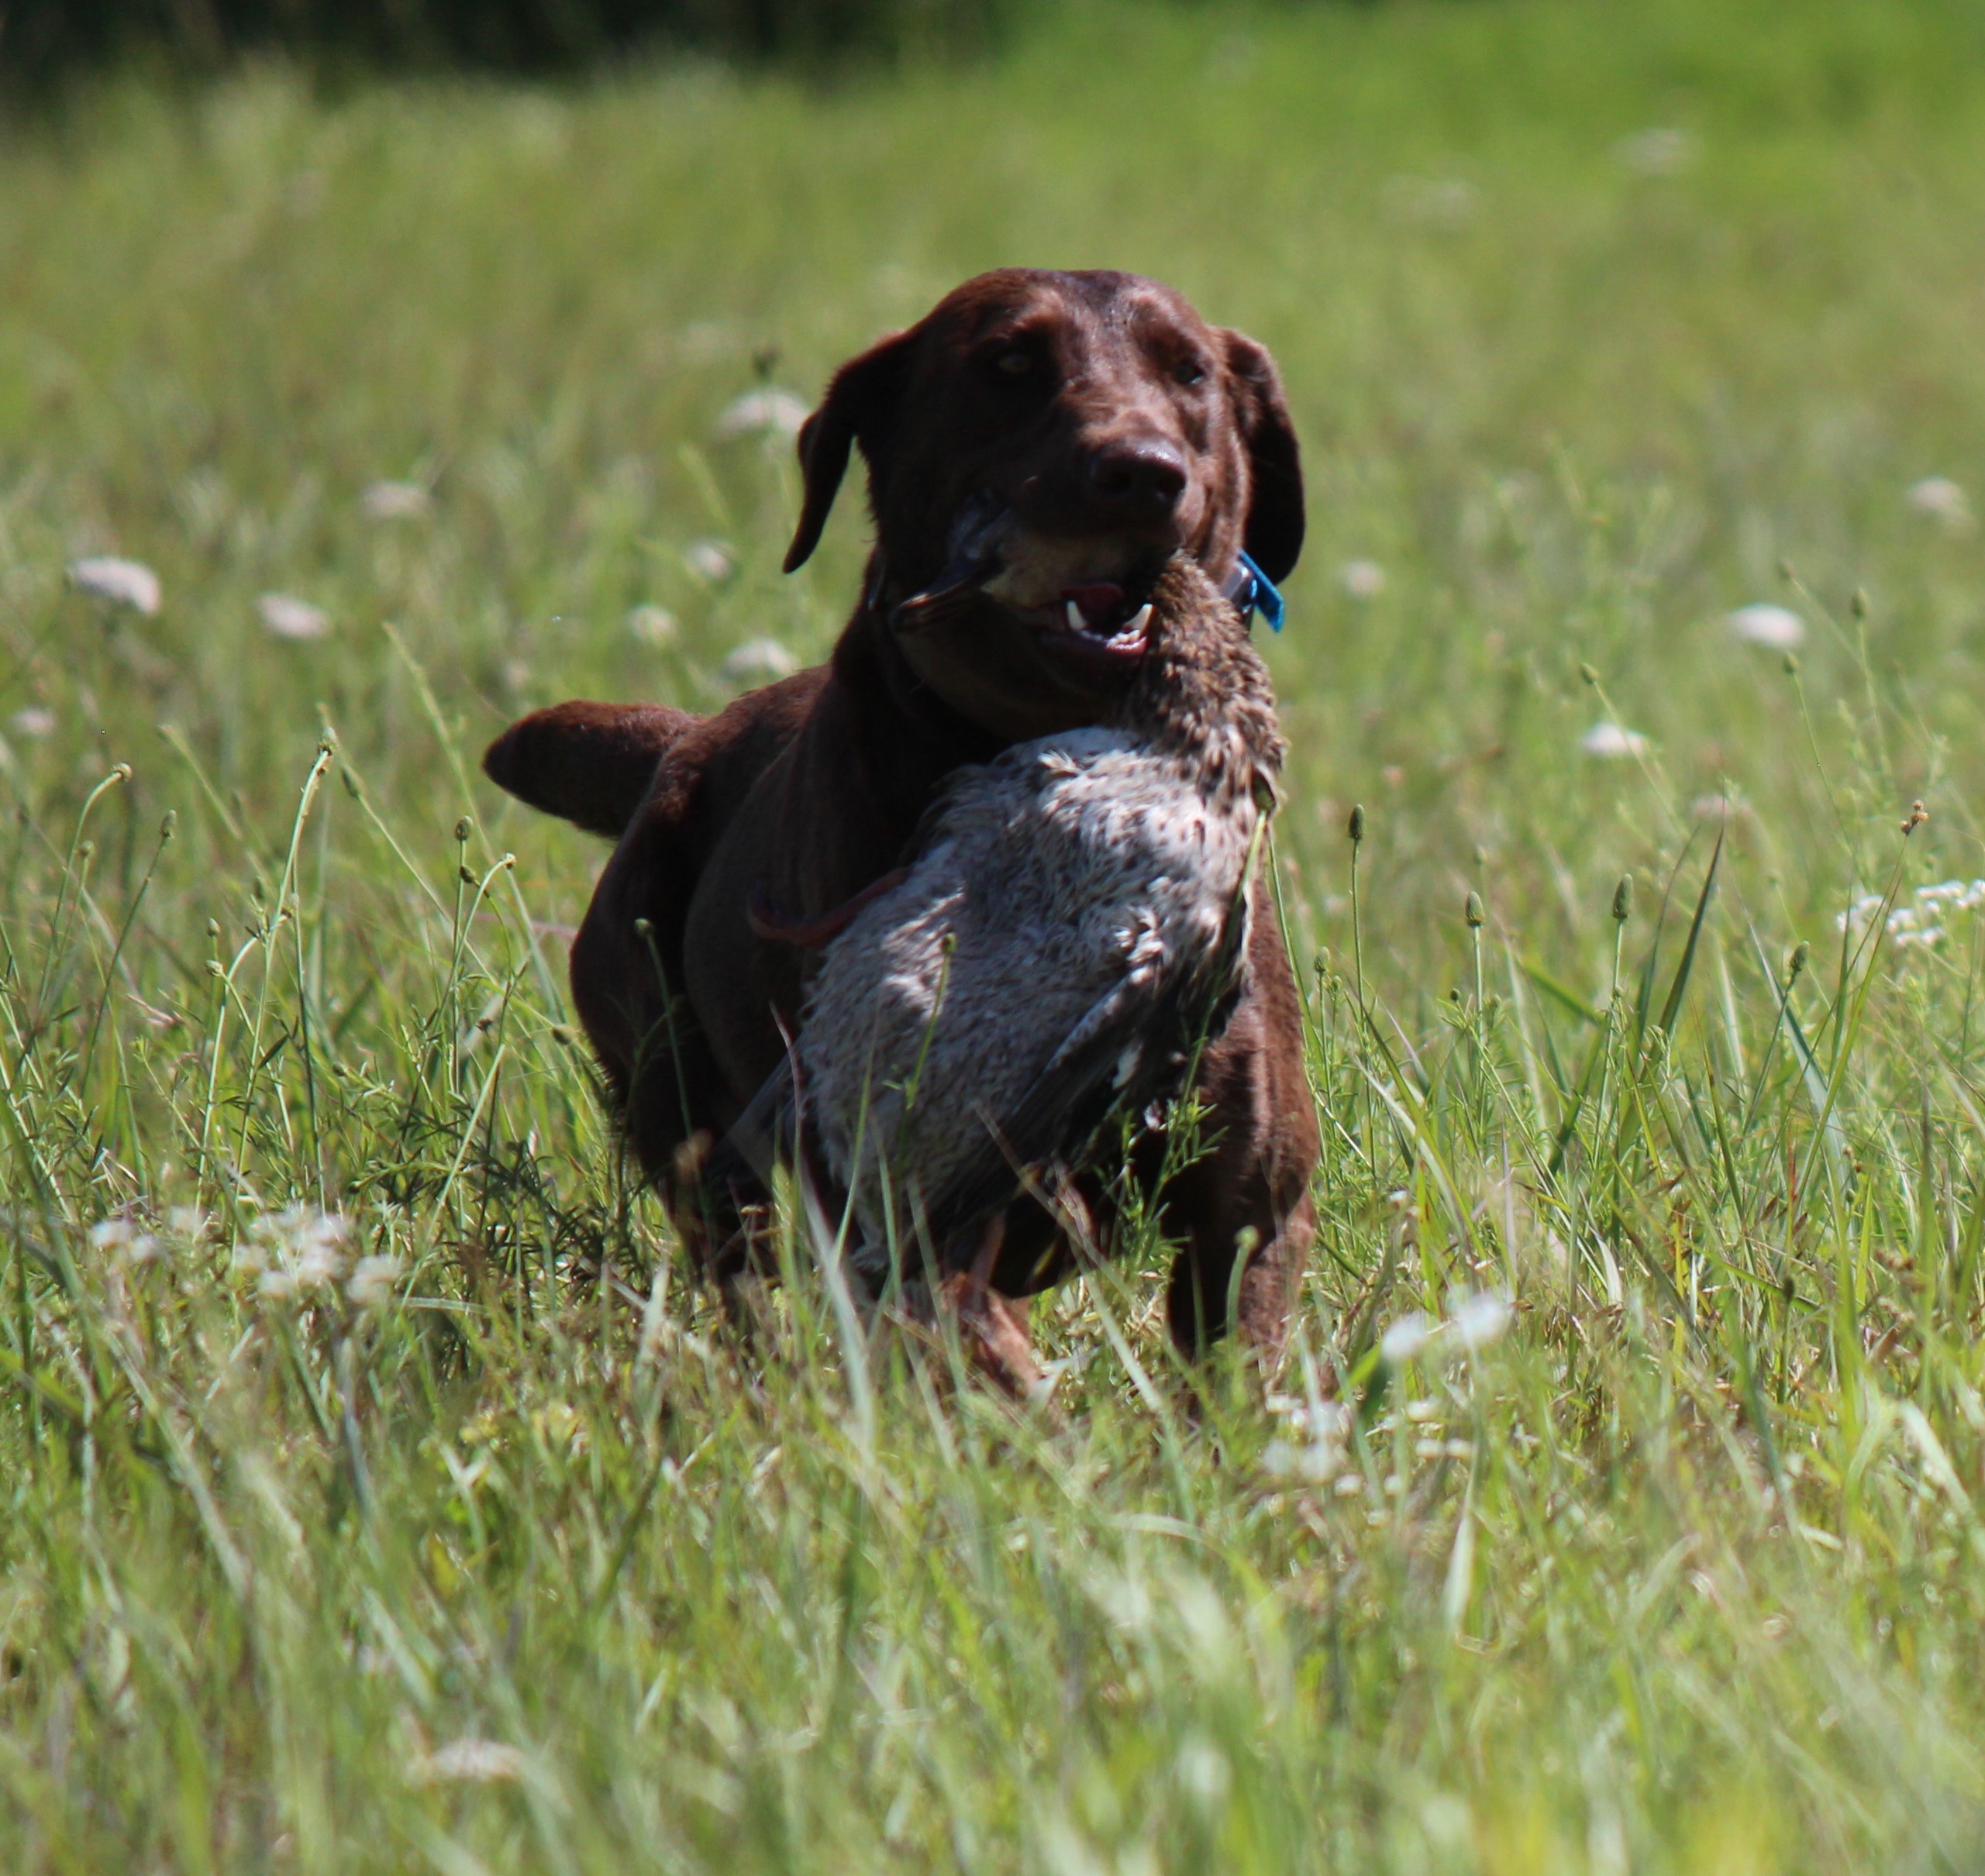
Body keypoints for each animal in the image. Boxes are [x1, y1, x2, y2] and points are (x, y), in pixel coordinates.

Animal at [480, 267, 1318, 1358]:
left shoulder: (1253, 1214)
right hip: (687, 1118)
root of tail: (680, 746)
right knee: (753, 1267)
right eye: (1008, 363)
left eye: (1188, 373)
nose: (1140, 472)